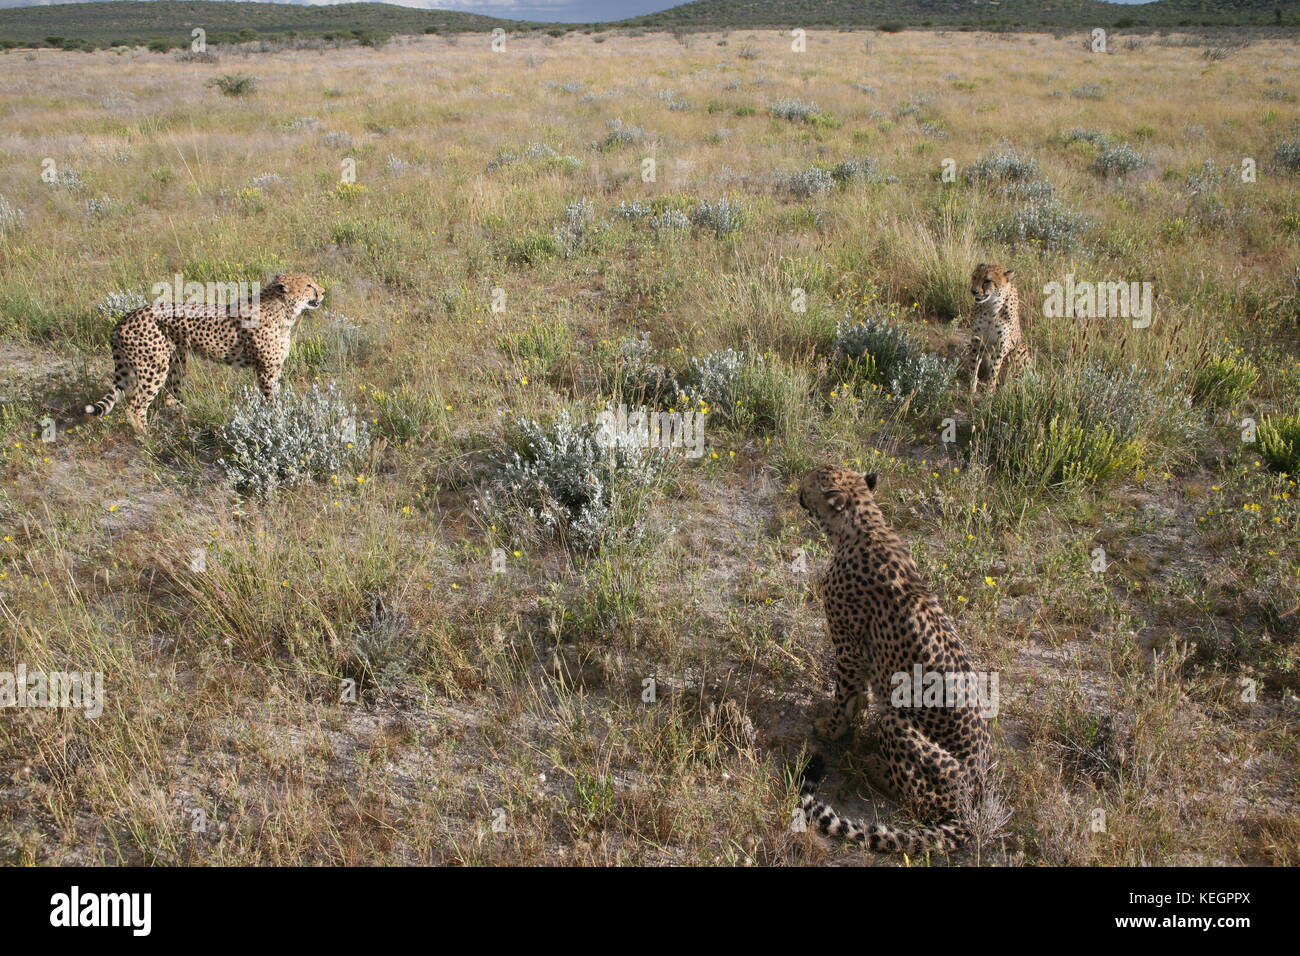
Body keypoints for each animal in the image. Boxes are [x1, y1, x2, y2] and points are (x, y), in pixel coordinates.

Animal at [85, 270, 322, 431]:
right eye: (309, 285)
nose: (323, 291)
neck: (282, 310)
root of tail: (125, 317)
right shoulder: (266, 370)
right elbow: (273, 401)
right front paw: (279, 422)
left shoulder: (274, 368)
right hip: (154, 367)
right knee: (135, 406)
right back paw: (148, 439)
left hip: (176, 360)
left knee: (172, 397)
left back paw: (186, 420)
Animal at [790, 468, 993, 858]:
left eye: (810, 481)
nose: (797, 489)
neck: (866, 524)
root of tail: (973, 808)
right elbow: (858, 695)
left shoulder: (849, 647)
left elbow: (845, 694)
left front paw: (832, 728)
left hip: (898, 723)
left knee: (921, 801)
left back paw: (874, 766)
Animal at [967, 261, 1024, 400]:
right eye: (974, 277)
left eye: (987, 280)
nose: (973, 291)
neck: (990, 306)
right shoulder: (977, 339)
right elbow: (974, 364)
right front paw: (972, 388)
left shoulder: (1001, 343)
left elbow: (995, 369)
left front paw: (989, 392)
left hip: (1019, 349)